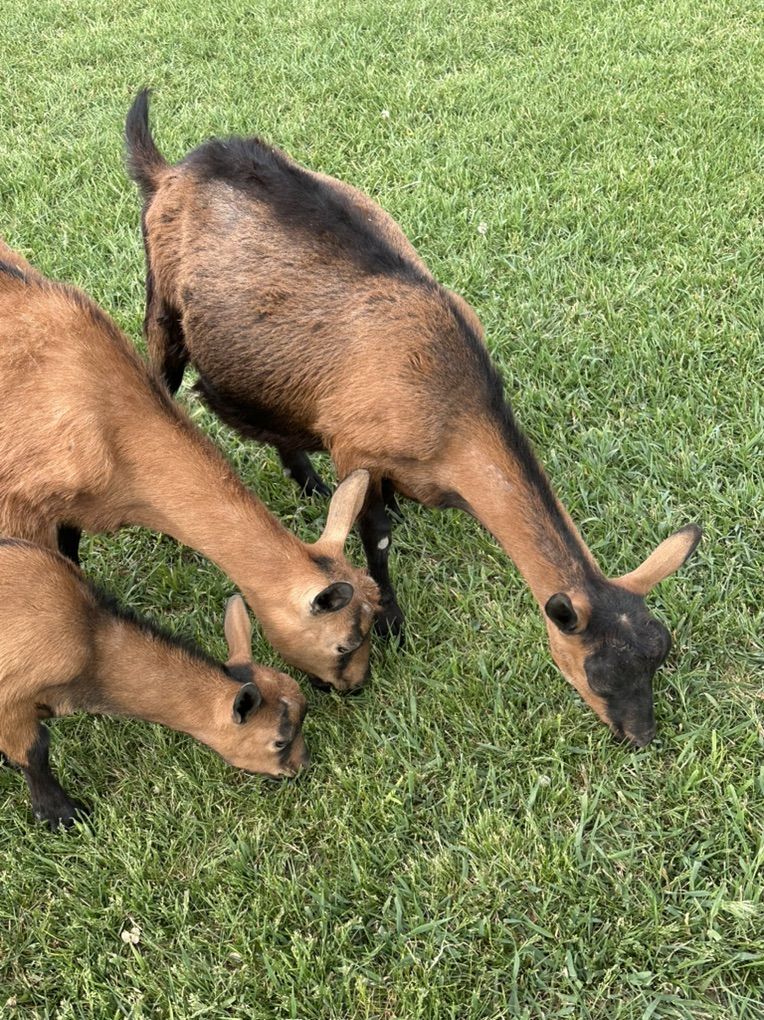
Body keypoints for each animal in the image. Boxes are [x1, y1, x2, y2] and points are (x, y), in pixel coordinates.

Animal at [0, 538, 308, 829]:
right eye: (280, 742)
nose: (302, 766)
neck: (93, 644)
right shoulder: (11, 702)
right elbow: (35, 750)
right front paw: (64, 817)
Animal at [125, 91, 701, 747]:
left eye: (661, 653)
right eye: (599, 673)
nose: (642, 735)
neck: (452, 408)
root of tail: (171, 170)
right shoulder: (357, 448)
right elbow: (375, 536)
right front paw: (393, 623)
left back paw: (309, 483)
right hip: (162, 307)